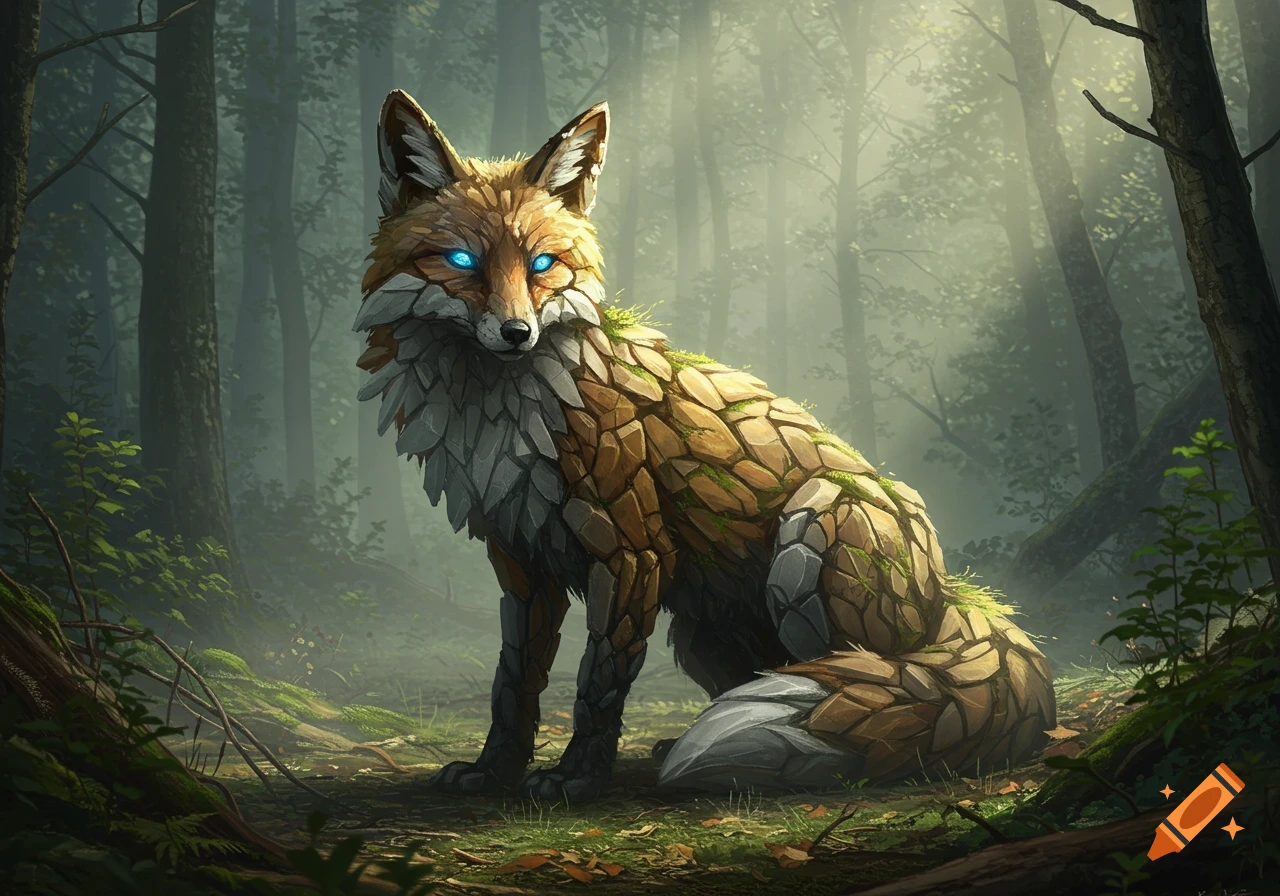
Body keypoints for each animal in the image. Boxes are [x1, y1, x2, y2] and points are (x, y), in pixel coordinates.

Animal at [354, 90, 1056, 800]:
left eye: (542, 265)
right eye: (462, 263)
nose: (516, 332)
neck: (501, 414)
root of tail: (952, 596)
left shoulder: (632, 554)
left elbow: (598, 685)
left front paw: (578, 777)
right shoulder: (521, 561)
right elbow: (514, 681)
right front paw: (494, 769)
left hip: (814, 529)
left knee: (864, 678)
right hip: (698, 631)